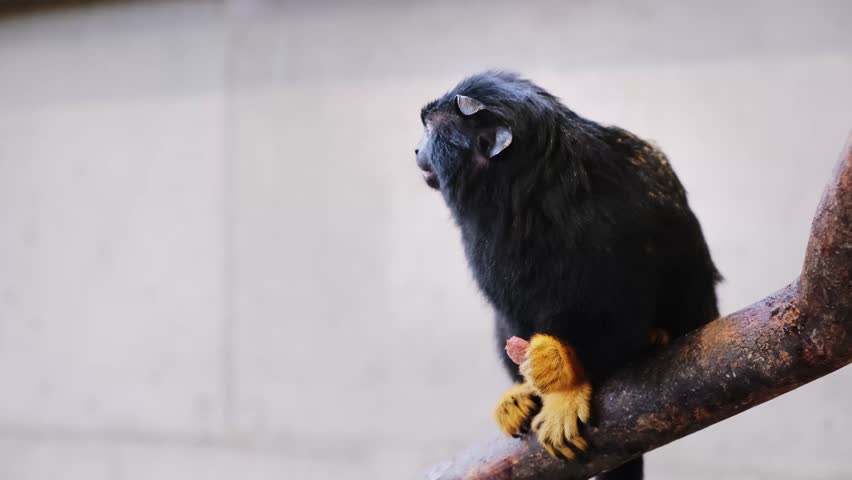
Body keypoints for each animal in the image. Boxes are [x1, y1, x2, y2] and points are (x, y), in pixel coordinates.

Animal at [415, 71, 720, 480]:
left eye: (429, 130)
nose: (416, 150)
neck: (520, 192)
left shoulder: (606, 224)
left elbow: (618, 303)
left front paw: (565, 377)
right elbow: (511, 308)